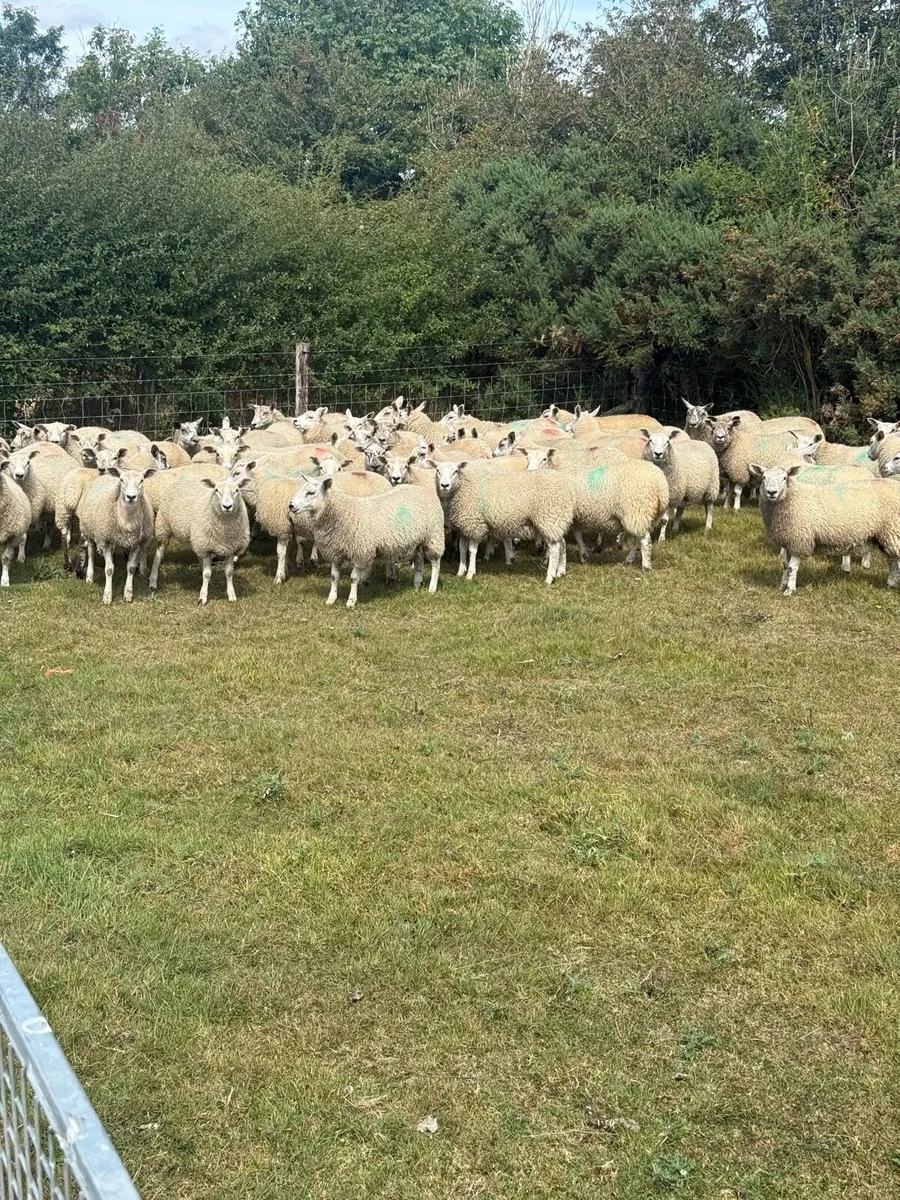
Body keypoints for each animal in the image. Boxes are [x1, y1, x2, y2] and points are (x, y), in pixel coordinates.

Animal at [77, 467, 156, 603]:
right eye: (121, 480)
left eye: (141, 480)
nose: (131, 497)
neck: (127, 520)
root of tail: (105, 474)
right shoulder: (106, 541)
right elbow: (109, 570)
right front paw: (107, 596)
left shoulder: (135, 543)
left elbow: (131, 568)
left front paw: (128, 594)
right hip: (90, 531)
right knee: (91, 552)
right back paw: (89, 577)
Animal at [149, 473, 253, 604]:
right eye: (216, 490)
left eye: (237, 490)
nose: (227, 506)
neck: (225, 532)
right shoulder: (207, 548)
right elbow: (207, 574)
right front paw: (203, 597)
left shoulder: (230, 549)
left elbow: (229, 573)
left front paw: (231, 595)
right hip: (163, 528)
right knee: (158, 556)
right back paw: (153, 582)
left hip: (195, 538)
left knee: (198, 555)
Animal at [287, 474, 445, 607]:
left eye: (311, 493)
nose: (291, 505)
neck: (344, 514)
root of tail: (420, 489)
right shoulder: (336, 552)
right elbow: (334, 577)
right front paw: (331, 599)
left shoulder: (360, 552)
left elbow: (353, 578)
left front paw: (351, 601)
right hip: (418, 539)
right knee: (418, 560)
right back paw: (417, 584)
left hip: (434, 535)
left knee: (436, 564)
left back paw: (431, 588)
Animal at [751, 463, 900, 594]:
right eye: (764, 477)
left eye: (784, 478)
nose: (772, 492)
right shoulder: (788, 540)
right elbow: (785, 565)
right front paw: (782, 585)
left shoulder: (800, 540)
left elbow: (792, 568)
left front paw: (789, 590)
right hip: (887, 536)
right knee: (892, 559)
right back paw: (891, 583)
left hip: (893, 531)